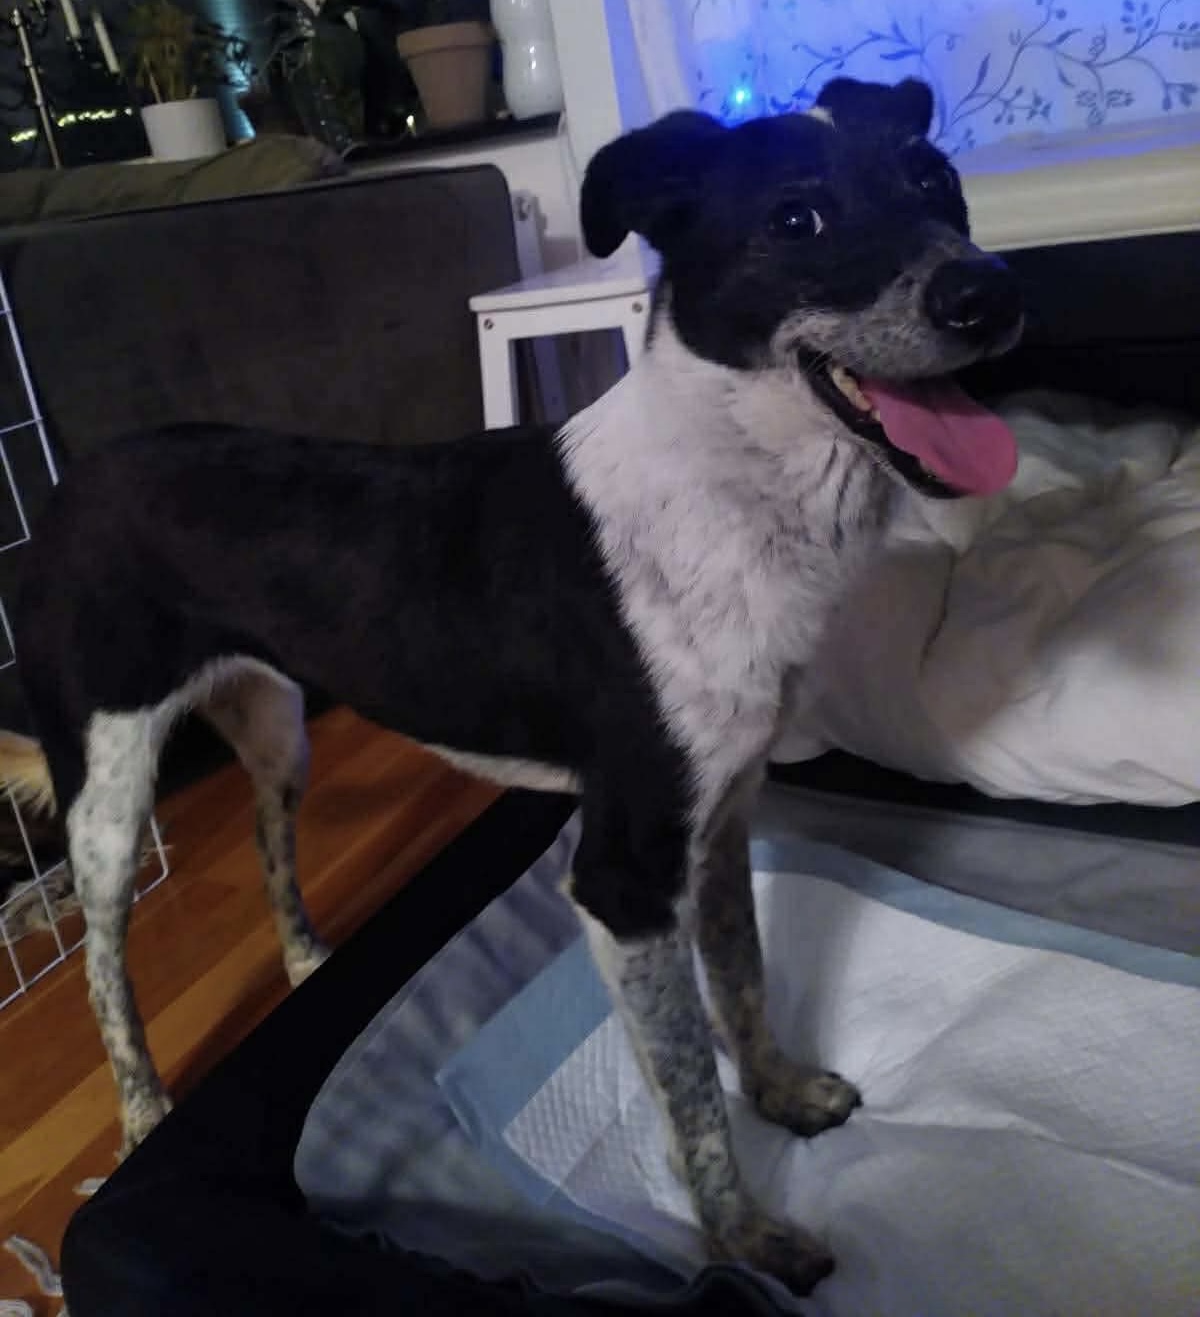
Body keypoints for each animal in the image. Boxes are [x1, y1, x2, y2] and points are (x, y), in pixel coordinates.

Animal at [11, 77, 1021, 1293]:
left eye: (933, 178)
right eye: (797, 219)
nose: (989, 291)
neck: (728, 485)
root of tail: (74, 480)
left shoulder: (720, 821)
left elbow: (741, 985)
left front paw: (780, 1092)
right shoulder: (624, 877)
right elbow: (690, 1094)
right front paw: (742, 1245)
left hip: (277, 726)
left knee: (268, 836)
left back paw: (304, 958)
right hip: (108, 784)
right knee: (102, 960)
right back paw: (139, 1110)